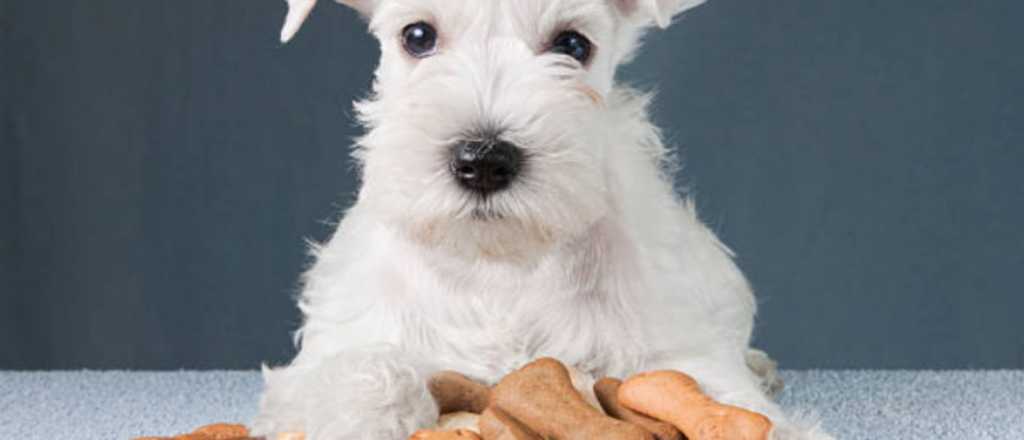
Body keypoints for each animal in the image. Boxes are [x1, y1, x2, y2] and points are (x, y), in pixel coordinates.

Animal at [256, 0, 831, 440]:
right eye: (416, 36)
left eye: (572, 45)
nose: (484, 161)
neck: (501, 263)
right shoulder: (334, 351)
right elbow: (368, 373)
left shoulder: (680, 355)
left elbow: (726, 402)